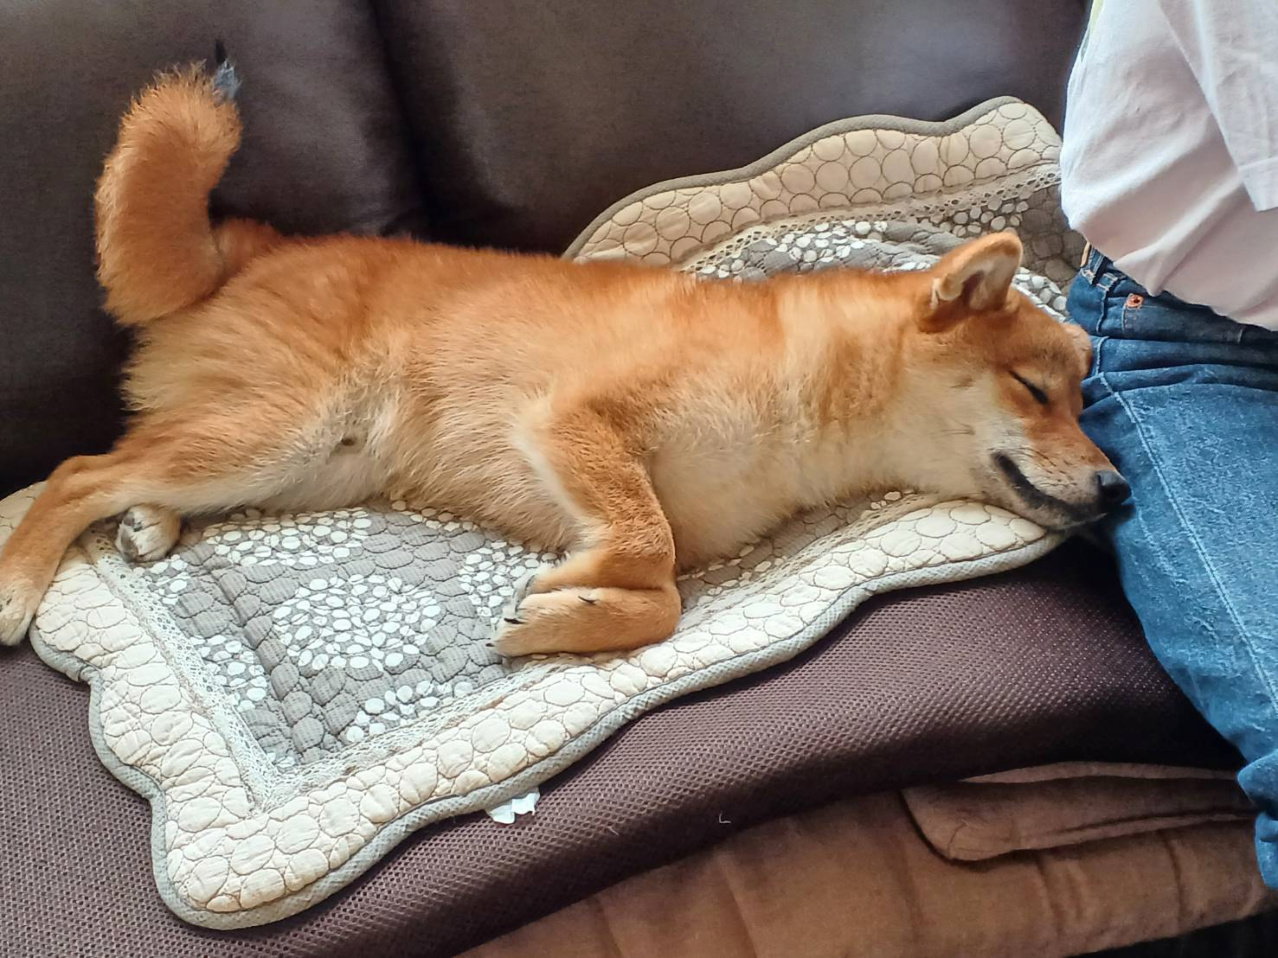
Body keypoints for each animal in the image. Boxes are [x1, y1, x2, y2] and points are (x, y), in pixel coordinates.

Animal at [0, 61, 1129, 657]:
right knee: (77, 471)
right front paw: (575, 595)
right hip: (283, 430)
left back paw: (150, 523)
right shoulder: (573, 421)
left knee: (131, 465)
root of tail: (256, 245)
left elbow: (665, 594)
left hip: (301, 464)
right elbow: (650, 554)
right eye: (1035, 391)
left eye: (1087, 403)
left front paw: (569, 613)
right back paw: (17, 586)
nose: (1121, 488)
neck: (805, 389)